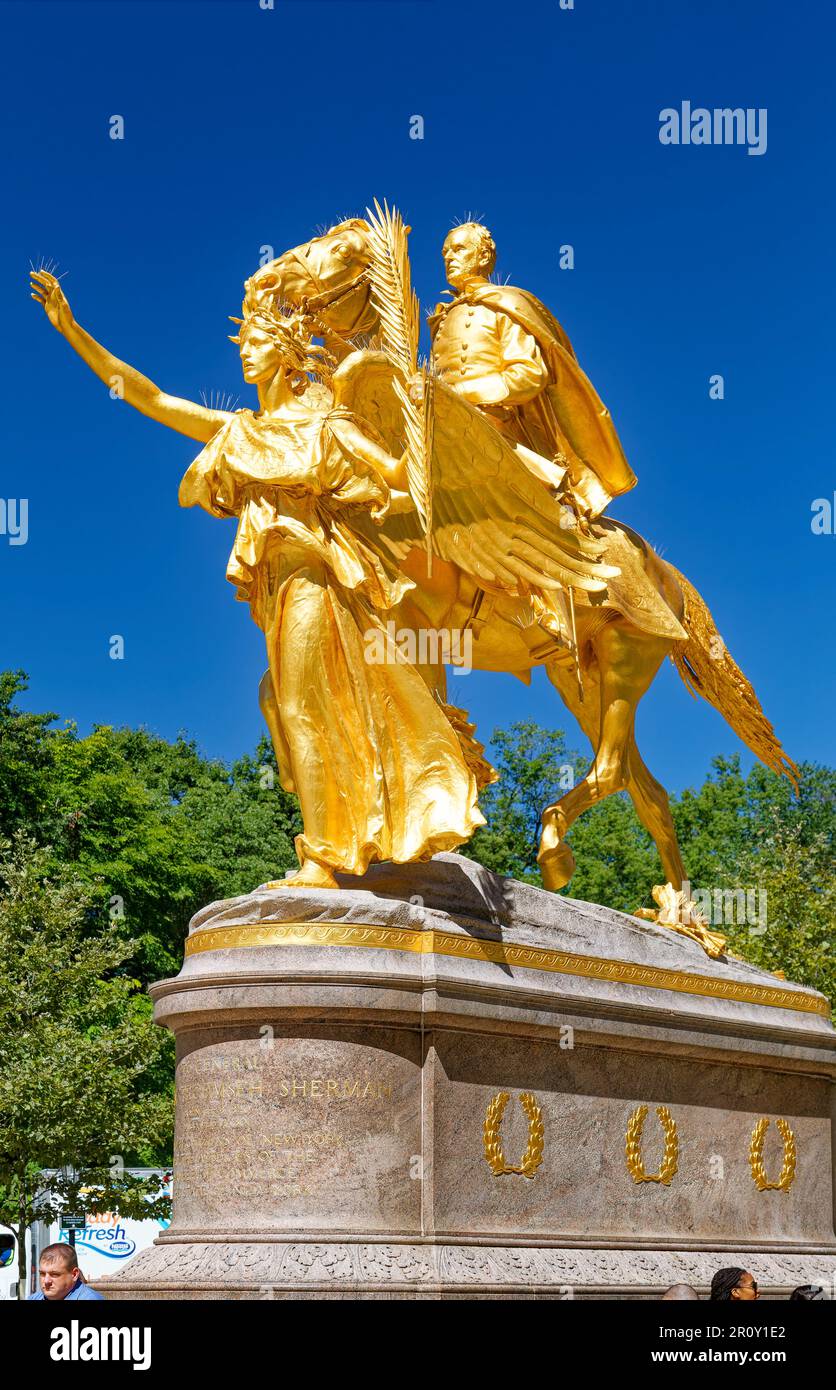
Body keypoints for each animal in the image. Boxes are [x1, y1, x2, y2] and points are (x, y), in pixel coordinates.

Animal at [246, 222, 795, 895]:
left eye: (340, 251)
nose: (262, 282)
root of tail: (663, 570)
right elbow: (275, 689)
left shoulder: (412, 619)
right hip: (579, 678)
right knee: (650, 792)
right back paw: (678, 915)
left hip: (625, 659)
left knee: (614, 771)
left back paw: (558, 848)